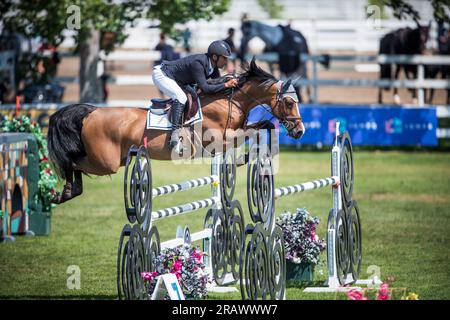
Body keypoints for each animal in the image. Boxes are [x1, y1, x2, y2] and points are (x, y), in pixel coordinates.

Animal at [46, 57, 306, 204]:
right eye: (289, 102)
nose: (300, 131)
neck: (230, 102)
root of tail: (91, 112)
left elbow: (262, 126)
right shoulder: (219, 139)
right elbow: (249, 133)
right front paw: (245, 157)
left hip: (114, 160)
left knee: (77, 164)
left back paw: (68, 193)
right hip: (105, 161)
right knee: (73, 161)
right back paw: (65, 192)